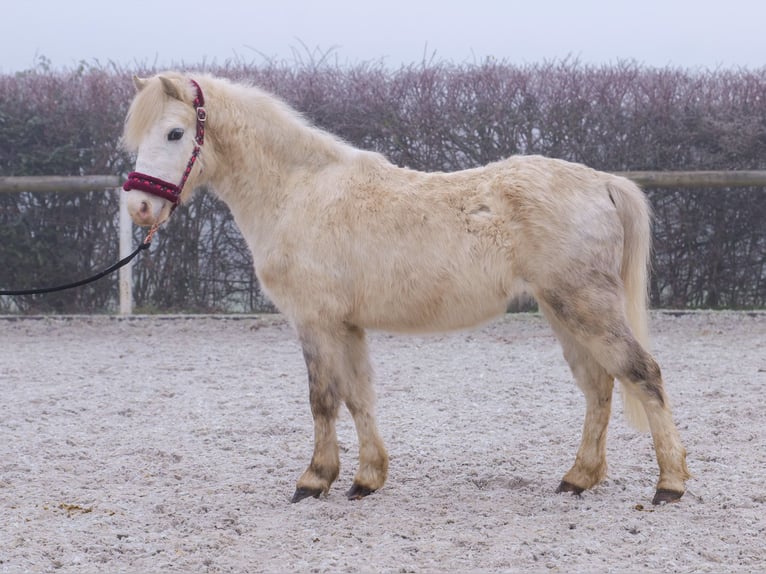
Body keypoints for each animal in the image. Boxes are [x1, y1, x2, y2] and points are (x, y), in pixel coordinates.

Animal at [124, 72, 688, 504]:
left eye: (174, 133)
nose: (139, 207)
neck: (300, 193)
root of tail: (604, 183)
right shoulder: (347, 325)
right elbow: (358, 396)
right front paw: (366, 479)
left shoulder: (315, 322)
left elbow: (322, 399)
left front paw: (314, 479)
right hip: (563, 310)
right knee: (599, 388)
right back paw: (579, 478)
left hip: (586, 306)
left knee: (643, 375)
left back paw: (670, 485)